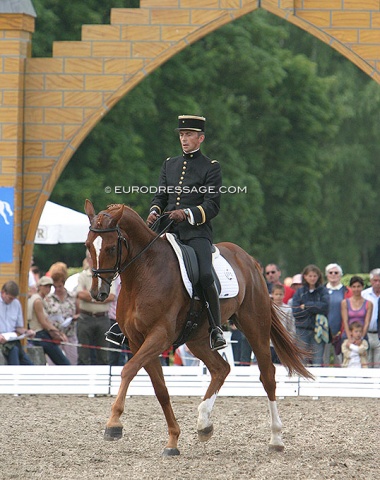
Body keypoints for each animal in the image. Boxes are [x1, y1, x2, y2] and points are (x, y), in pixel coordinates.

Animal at [84, 201, 314, 456]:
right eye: (88, 246)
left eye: (111, 248)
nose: (98, 293)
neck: (144, 274)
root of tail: (249, 260)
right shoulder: (137, 341)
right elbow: (160, 389)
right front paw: (172, 441)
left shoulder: (159, 336)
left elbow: (128, 370)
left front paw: (114, 424)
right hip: (197, 339)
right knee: (221, 369)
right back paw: (204, 423)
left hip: (255, 327)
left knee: (268, 376)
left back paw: (276, 438)